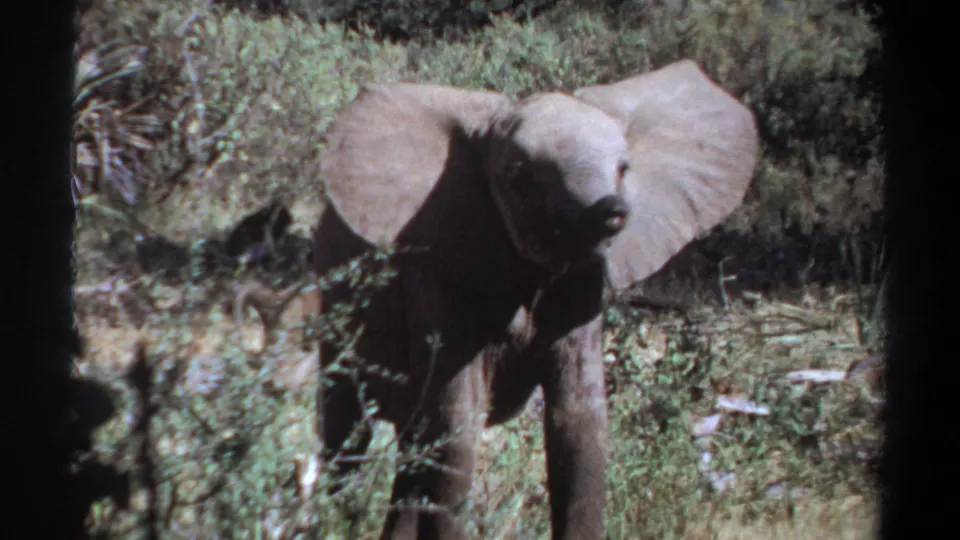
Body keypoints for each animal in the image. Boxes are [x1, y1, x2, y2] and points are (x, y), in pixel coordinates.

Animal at [311, 59, 759, 539]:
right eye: (516, 174)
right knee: (347, 423)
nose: (615, 210)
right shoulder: (441, 274)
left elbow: (578, 425)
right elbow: (457, 427)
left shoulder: (583, 290)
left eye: (624, 168)